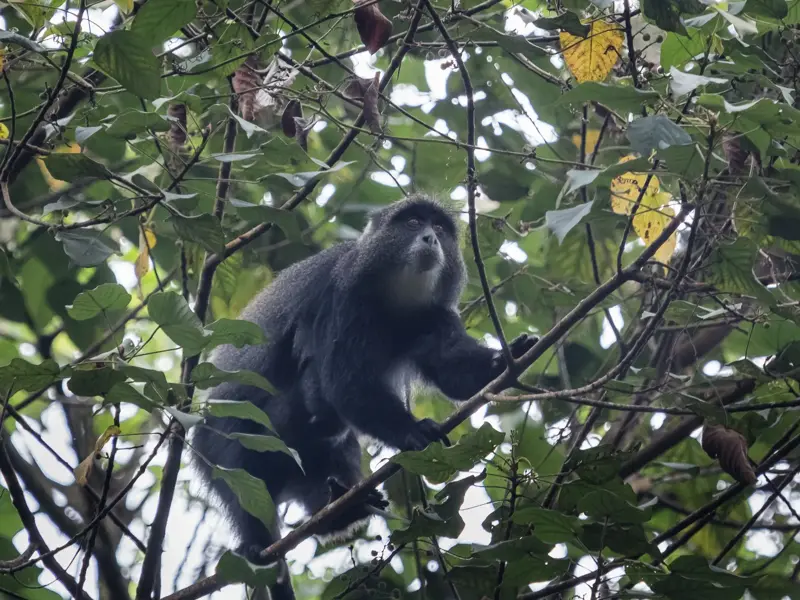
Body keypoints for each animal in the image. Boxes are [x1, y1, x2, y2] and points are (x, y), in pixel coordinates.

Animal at [192, 195, 535, 600]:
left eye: (439, 228)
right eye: (413, 222)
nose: (430, 239)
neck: (393, 296)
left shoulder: (433, 313)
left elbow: (451, 370)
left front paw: (504, 360)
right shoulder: (342, 294)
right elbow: (344, 382)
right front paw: (412, 431)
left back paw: (341, 511)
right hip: (221, 443)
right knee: (248, 475)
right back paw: (259, 544)